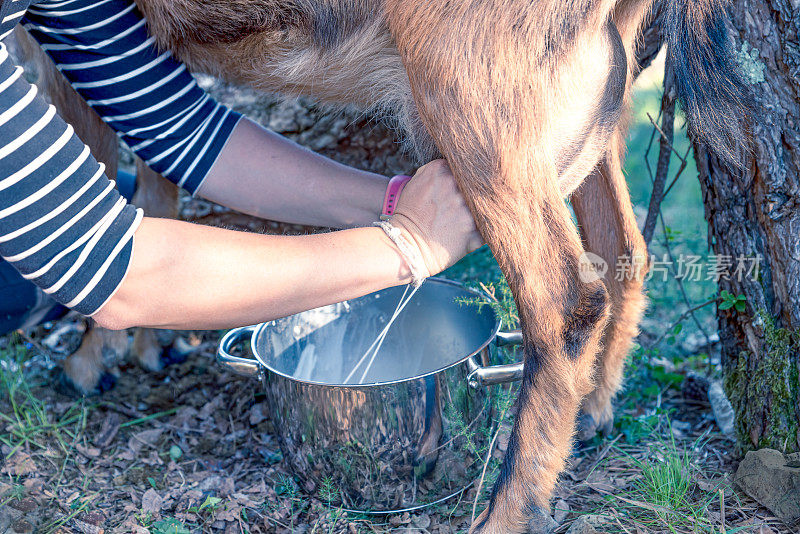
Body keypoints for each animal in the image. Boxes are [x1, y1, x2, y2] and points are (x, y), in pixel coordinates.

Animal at [25, 0, 752, 532]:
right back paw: (596, 409)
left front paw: (89, 361)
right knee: (623, 246)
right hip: (594, 88)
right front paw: (147, 346)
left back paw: (508, 512)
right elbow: (156, 165)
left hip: (472, 81)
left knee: (563, 295)